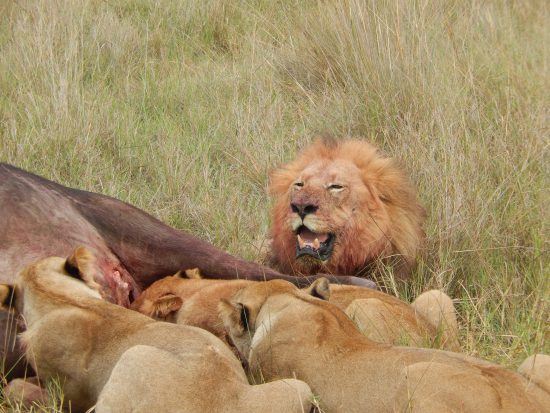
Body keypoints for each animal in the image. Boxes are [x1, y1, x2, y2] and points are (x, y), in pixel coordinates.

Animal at [0, 248, 314, 412]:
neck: (61, 297)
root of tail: (224, 402)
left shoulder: (65, 396)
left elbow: (17, 389)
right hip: (300, 388)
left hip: (134, 357)